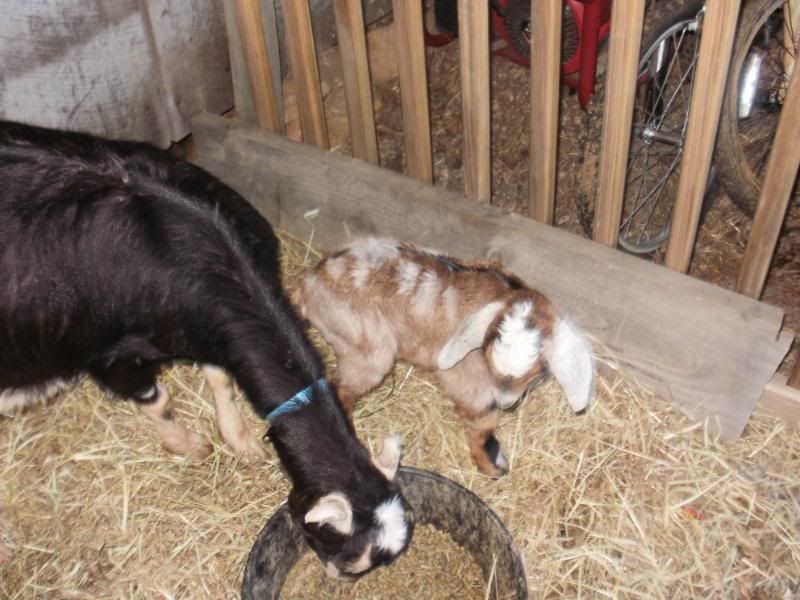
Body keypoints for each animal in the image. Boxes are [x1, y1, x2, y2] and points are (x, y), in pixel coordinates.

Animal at [0, 122, 412, 578]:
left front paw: (239, 439)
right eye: (348, 558)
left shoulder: (207, 333)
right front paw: (189, 445)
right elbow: (158, 401)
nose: (335, 578)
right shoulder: (112, 358)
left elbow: (220, 378)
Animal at [291, 237, 595, 477]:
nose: (506, 403)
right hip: (364, 346)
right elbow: (483, 420)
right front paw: (490, 466)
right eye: (487, 360)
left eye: (536, 371)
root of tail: (309, 282)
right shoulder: (465, 378)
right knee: (341, 388)